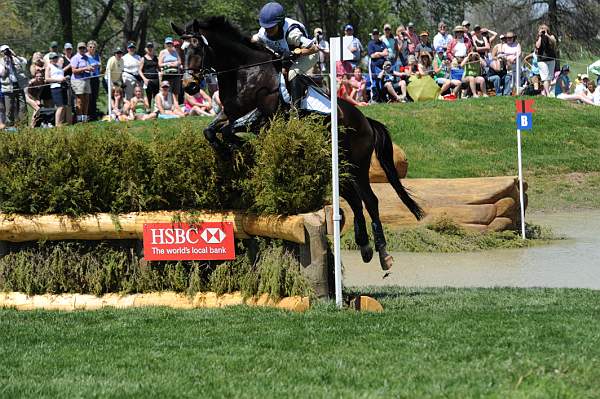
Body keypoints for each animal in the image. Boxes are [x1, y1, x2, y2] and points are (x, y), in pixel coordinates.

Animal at [169, 17, 424, 270]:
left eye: (197, 48)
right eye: (180, 51)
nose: (190, 85)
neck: (244, 73)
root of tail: (366, 121)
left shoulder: (263, 117)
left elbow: (229, 131)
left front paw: (241, 149)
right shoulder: (228, 114)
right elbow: (211, 131)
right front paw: (230, 151)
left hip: (356, 165)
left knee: (369, 200)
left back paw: (384, 255)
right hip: (340, 167)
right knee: (354, 200)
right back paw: (365, 247)